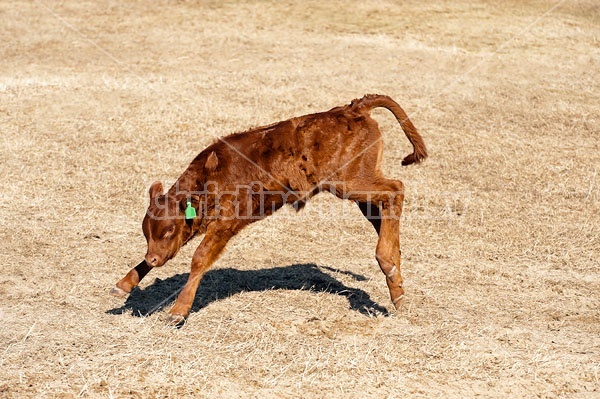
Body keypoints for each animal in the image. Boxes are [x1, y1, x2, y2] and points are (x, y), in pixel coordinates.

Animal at [109, 95, 426, 326]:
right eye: (147, 232)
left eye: (170, 229)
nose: (156, 257)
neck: (210, 178)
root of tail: (352, 109)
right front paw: (124, 284)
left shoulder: (224, 225)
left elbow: (199, 259)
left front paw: (177, 312)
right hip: (360, 190)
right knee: (384, 212)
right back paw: (395, 279)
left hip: (350, 183)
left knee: (395, 189)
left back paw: (387, 261)